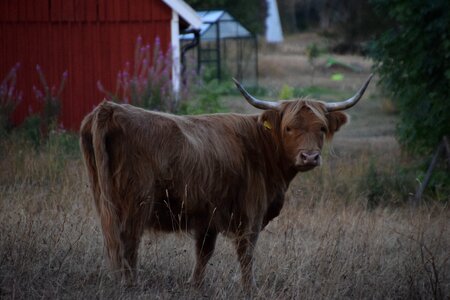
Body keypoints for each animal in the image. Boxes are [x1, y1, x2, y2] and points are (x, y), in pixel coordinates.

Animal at [80, 74, 372, 288]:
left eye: (321, 127)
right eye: (289, 127)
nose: (309, 156)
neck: (262, 148)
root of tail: (110, 109)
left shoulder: (208, 218)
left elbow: (203, 253)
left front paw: (195, 285)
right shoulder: (250, 214)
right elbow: (246, 254)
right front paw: (249, 288)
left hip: (103, 199)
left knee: (113, 243)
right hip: (135, 204)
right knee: (128, 244)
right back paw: (130, 285)